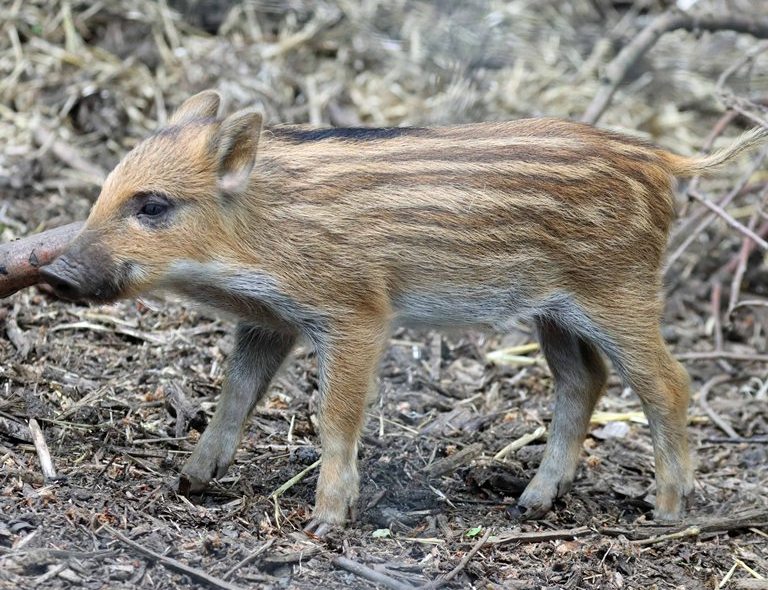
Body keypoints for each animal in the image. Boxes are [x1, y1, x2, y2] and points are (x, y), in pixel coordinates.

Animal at [39, 90, 767, 534]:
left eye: (153, 205)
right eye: (104, 191)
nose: (53, 273)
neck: (259, 231)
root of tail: (664, 159)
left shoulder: (357, 311)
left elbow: (334, 414)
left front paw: (325, 522)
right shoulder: (268, 320)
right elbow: (235, 396)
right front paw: (190, 481)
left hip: (619, 291)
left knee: (669, 384)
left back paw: (664, 510)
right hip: (554, 311)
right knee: (583, 380)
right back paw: (531, 502)